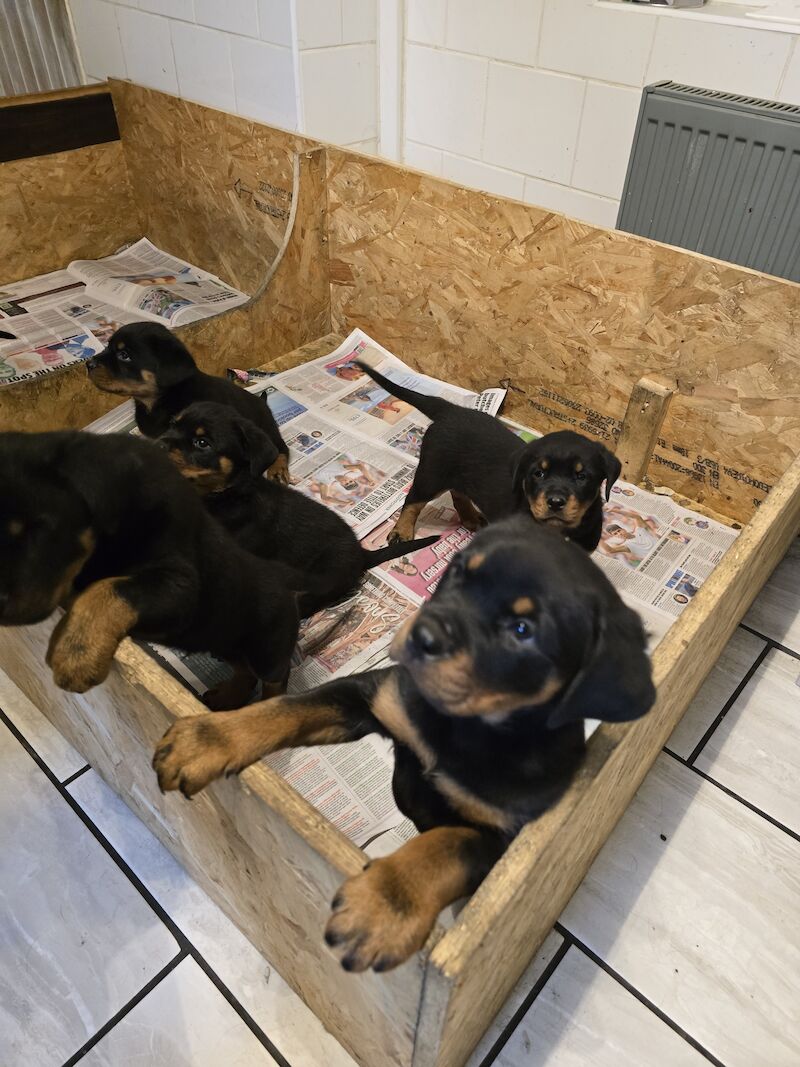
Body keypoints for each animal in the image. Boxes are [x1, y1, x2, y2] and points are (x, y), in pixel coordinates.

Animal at [0, 428, 309, 712]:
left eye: (40, 531)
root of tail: (289, 588)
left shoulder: (178, 584)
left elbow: (109, 588)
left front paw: (76, 654)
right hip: (223, 641)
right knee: (244, 670)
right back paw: (227, 697)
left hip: (268, 646)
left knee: (276, 677)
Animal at [86, 317, 292, 482]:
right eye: (107, 346)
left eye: (124, 355)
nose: (88, 364)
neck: (158, 402)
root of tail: (263, 402)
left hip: (267, 428)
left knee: (280, 449)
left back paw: (277, 469)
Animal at [154, 518, 657, 977]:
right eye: (456, 572)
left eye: (522, 630)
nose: (422, 636)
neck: (459, 726)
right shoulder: (369, 697)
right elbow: (288, 708)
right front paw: (206, 740)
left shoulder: (501, 840)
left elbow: (446, 848)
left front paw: (383, 906)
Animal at [158, 401, 441, 618]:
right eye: (172, 423)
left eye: (202, 442)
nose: (157, 443)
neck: (225, 494)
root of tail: (361, 554)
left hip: (325, 574)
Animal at [354, 362, 622, 554]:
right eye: (538, 473)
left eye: (581, 476)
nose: (555, 502)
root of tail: (451, 410)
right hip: (433, 472)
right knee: (413, 499)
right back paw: (402, 532)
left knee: (459, 492)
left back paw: (471, 517)